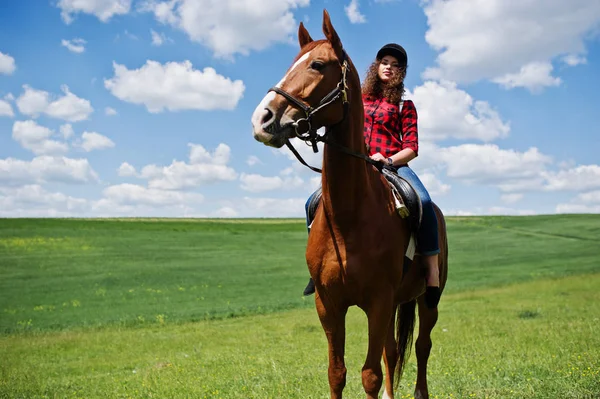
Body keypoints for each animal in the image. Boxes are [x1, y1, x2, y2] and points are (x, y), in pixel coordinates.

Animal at [248, 10, 446, 399]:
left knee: (422, 346)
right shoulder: (329, 304)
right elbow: (336, 372)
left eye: (317, 64)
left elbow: (369, 375)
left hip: (427, 298)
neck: (349, 216)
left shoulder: (378, 302)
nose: (262, 119)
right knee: (392, 350)